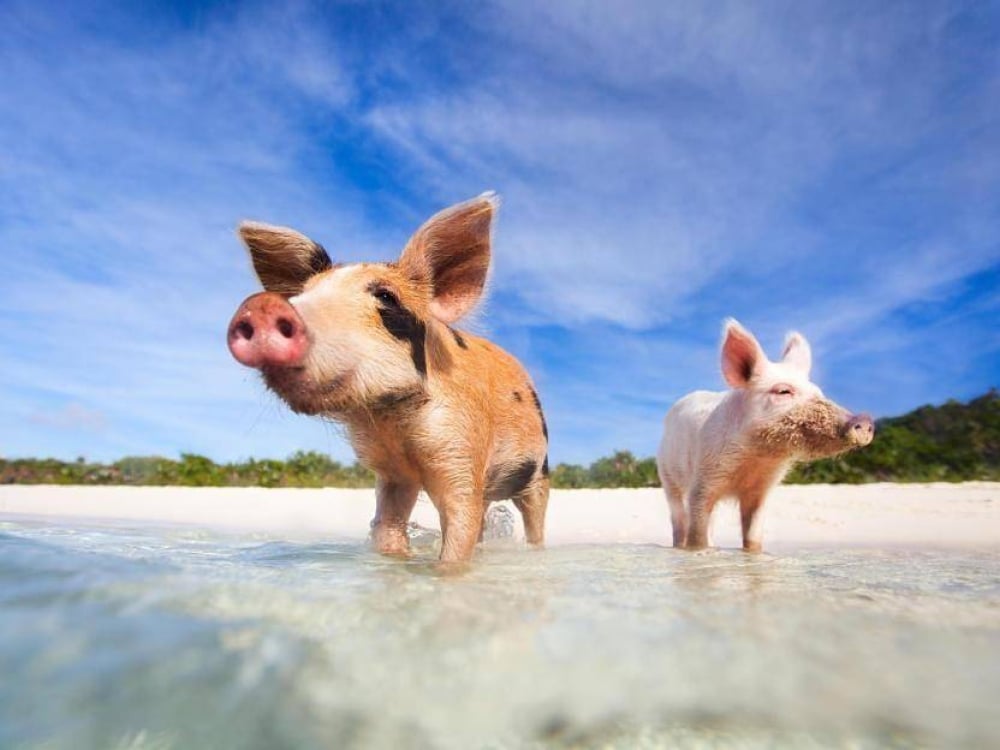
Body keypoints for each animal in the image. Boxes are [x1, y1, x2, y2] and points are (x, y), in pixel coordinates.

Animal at [226, 195, 548, 564]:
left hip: (539, 472)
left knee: (533, 519)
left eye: (386, 297)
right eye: (302, 293)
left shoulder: (462, 450)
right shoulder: (392, 473)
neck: (394, 424)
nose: (262, 306)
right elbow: (388, 528)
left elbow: (458, 532)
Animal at [652, 318, 872, 552]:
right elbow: (696, 532)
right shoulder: (703, 479)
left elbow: (753, 535)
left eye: (819, 393)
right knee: (678, 518)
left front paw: (752, 553)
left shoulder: (761, 489)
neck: (756, 458)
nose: (864, 420)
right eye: (783, 391)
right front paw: (698, 551)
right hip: (667, 474)